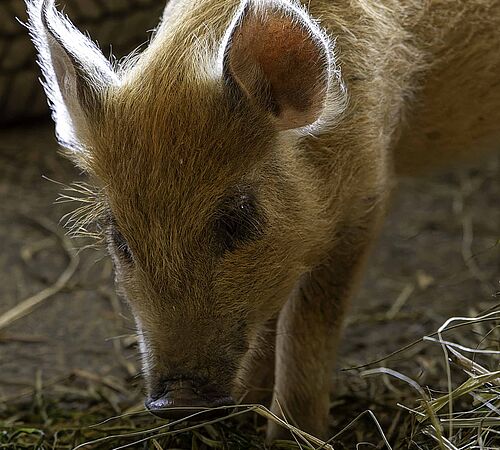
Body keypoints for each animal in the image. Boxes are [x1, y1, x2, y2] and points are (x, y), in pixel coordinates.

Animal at [27, 0, 500, 442]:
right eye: (120, 238)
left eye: (238, 219)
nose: (176, 400)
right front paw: (247, 407)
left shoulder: (367, 195)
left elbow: (307, 322)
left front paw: (291, 435)